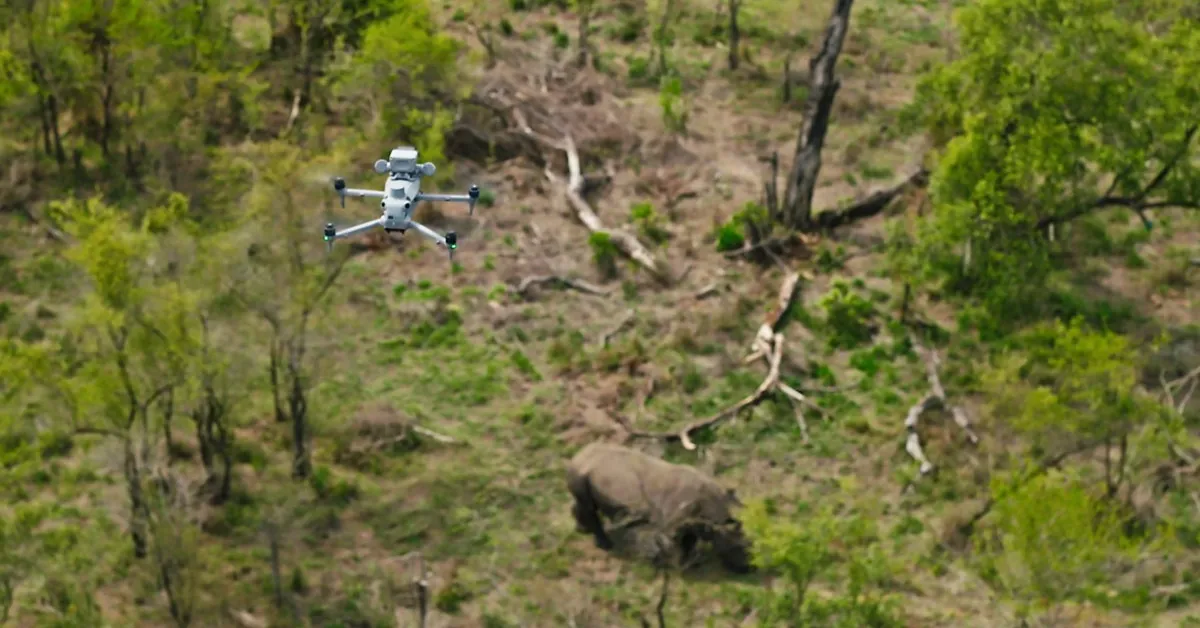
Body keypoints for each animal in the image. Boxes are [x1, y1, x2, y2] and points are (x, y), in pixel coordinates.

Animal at [565, 442, 753, 573]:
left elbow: (689, 540)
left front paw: (688, 564)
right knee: (588, 506)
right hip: (580, 472)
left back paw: (582, 529)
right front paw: (677, 565)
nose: (747, 569)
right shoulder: (673, 522)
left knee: (584, 503)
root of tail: (576, 456)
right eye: (735, 548)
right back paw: (606, 545)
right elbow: (677, 543)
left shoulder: (692, 522)